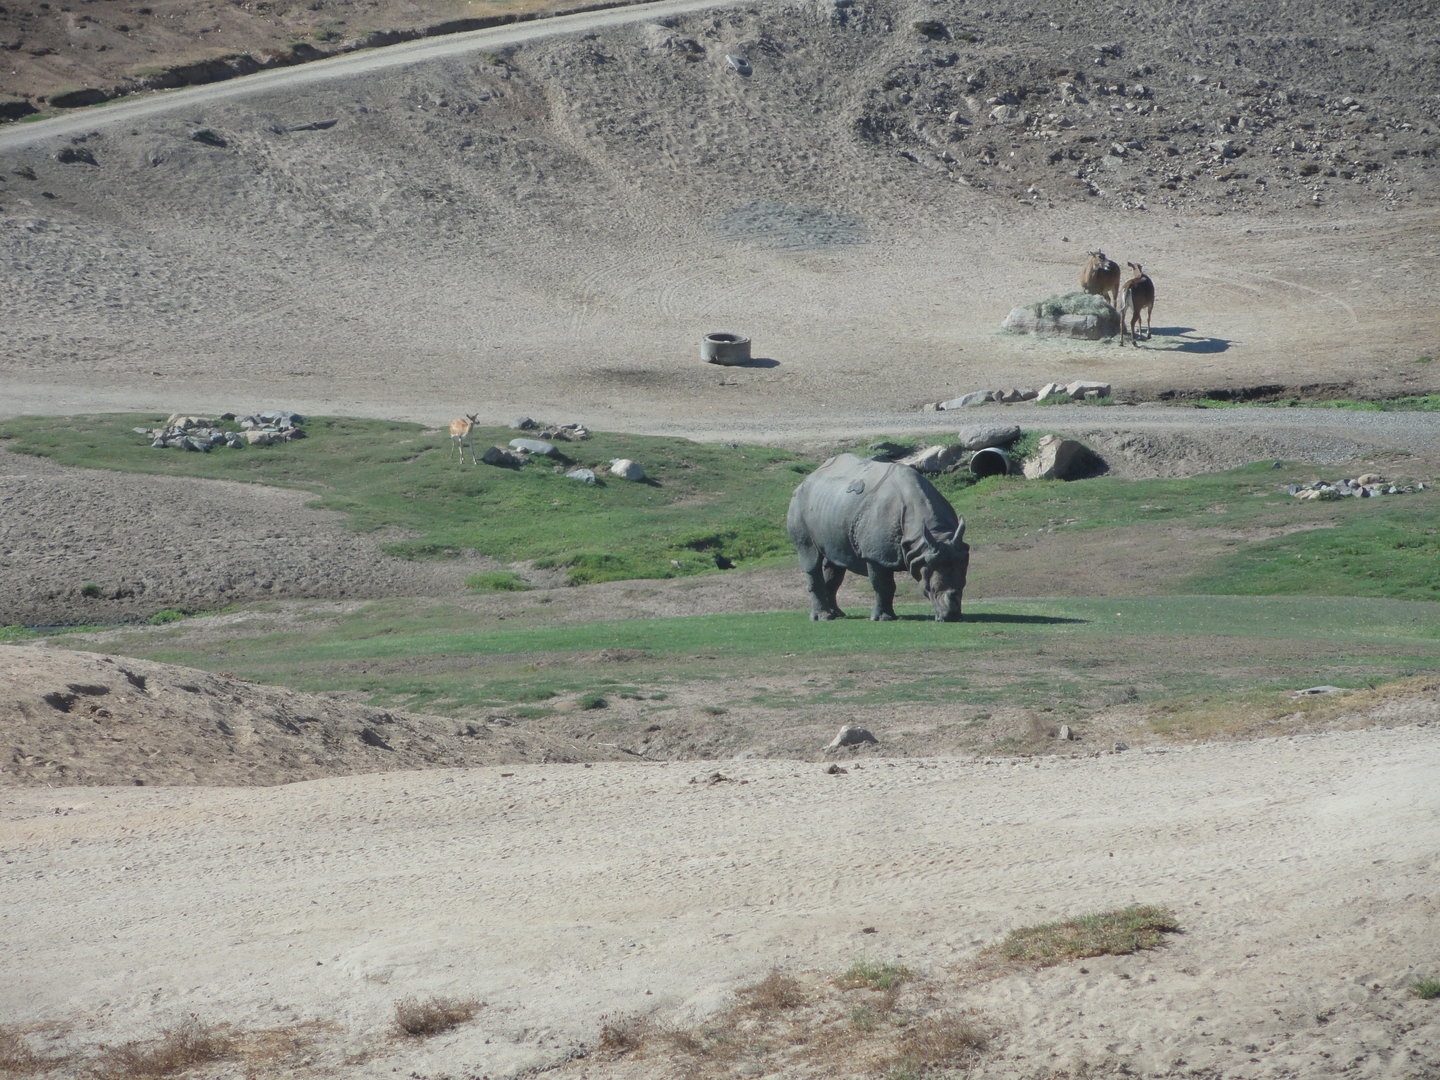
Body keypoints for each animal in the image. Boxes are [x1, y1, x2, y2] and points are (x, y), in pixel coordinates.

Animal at [786, 453, 970, 622]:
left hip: (830, 507)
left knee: (835, 563)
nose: (952, 617)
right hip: (799, 503)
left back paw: (837, 614)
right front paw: (883, 618)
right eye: (930, 589)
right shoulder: (875, 555)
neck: (932, 534)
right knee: (810, 557)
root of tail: (808, 477)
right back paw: (823, 617)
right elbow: (883, 586)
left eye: (963, 586)